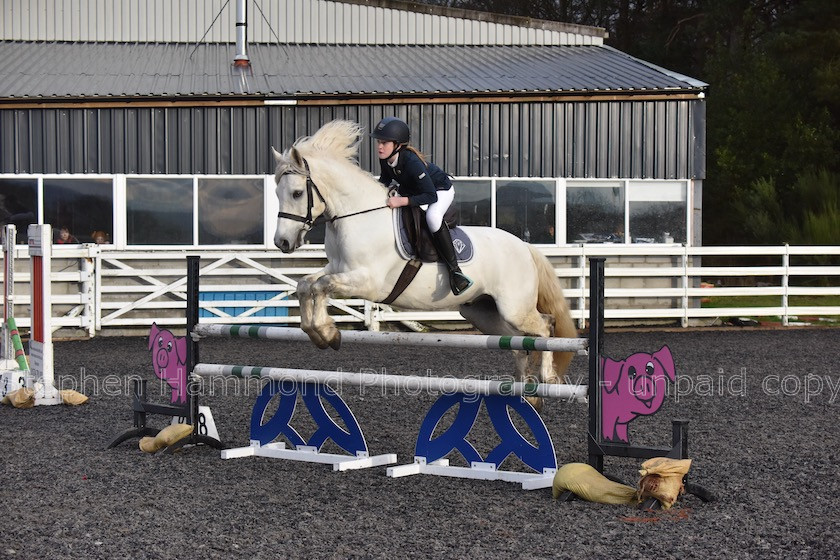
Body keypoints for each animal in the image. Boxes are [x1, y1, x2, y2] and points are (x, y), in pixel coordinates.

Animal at [272, 120, 576, 388]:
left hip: (514, 308)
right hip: (484, 313)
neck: (358, 215)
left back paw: (547, 377)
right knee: (519, 342)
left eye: (297, 193)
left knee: (544, 326)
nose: (282, 242)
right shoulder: (338, 267)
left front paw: (327, 331)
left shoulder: (367, 282)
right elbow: (306, 284)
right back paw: (525, 385)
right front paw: (320, 333)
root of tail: (524, 247)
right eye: (277, 193)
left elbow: (321, 286)